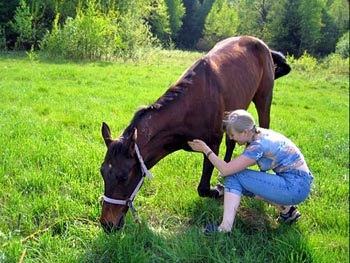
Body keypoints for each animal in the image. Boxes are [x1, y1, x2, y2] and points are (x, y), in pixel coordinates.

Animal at [98, 35, 290, 233]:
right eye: (102, 172)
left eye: (123, 176)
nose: (107, 224)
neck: (190, 107)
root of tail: (262, 44)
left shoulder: (212, 143)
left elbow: (203, 188)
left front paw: (218, 190)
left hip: (264, 99)